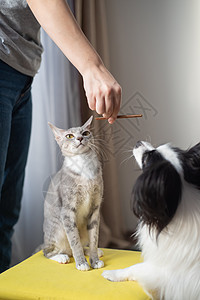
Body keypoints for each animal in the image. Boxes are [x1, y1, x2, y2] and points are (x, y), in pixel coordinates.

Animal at [43, 116, 104, 270]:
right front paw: (82, 263)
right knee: (48, 252)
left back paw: (94, 251)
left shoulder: (95, 208)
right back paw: (61, 256)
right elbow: (74, 241)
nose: (80, 138)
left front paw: (94, 260)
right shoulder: (67, 211)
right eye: (69, 136)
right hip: (57, 229)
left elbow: (94, 238)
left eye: (86, 132)